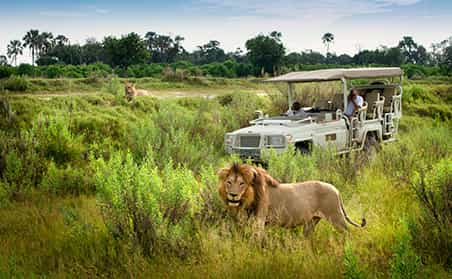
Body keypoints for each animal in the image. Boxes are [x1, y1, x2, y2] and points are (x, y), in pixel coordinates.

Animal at [217, 163, 366, 237]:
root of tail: (336, 189)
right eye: (229, 182)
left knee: (348, 234)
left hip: (336, 218)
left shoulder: (259, 222)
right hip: (311, 222)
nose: (233, 195)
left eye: (242, 183)